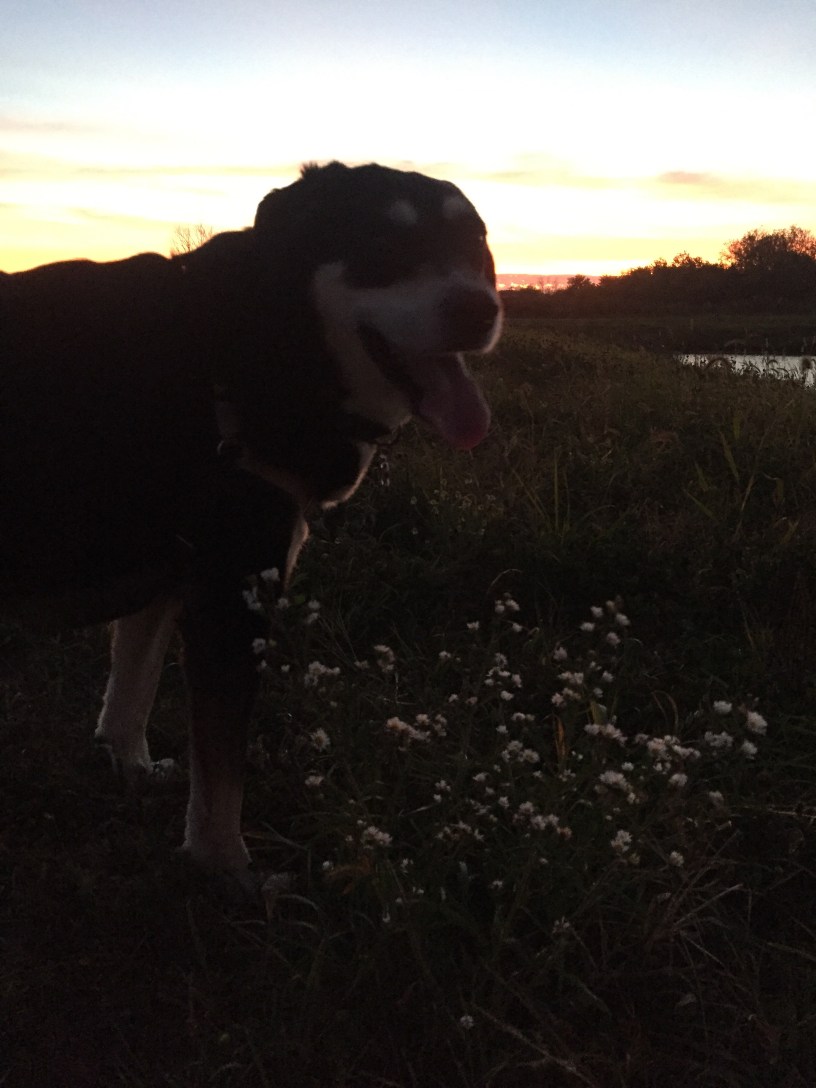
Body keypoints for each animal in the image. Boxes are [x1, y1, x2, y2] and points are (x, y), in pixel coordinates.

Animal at [0, 161, 502, 887]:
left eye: (475, 245)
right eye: (384, 247)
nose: (480, 310)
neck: (275, 333)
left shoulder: (174, 577)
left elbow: (132, 692)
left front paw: (132, 769)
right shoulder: (232, 596)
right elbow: (222, 776)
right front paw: (229, 873)